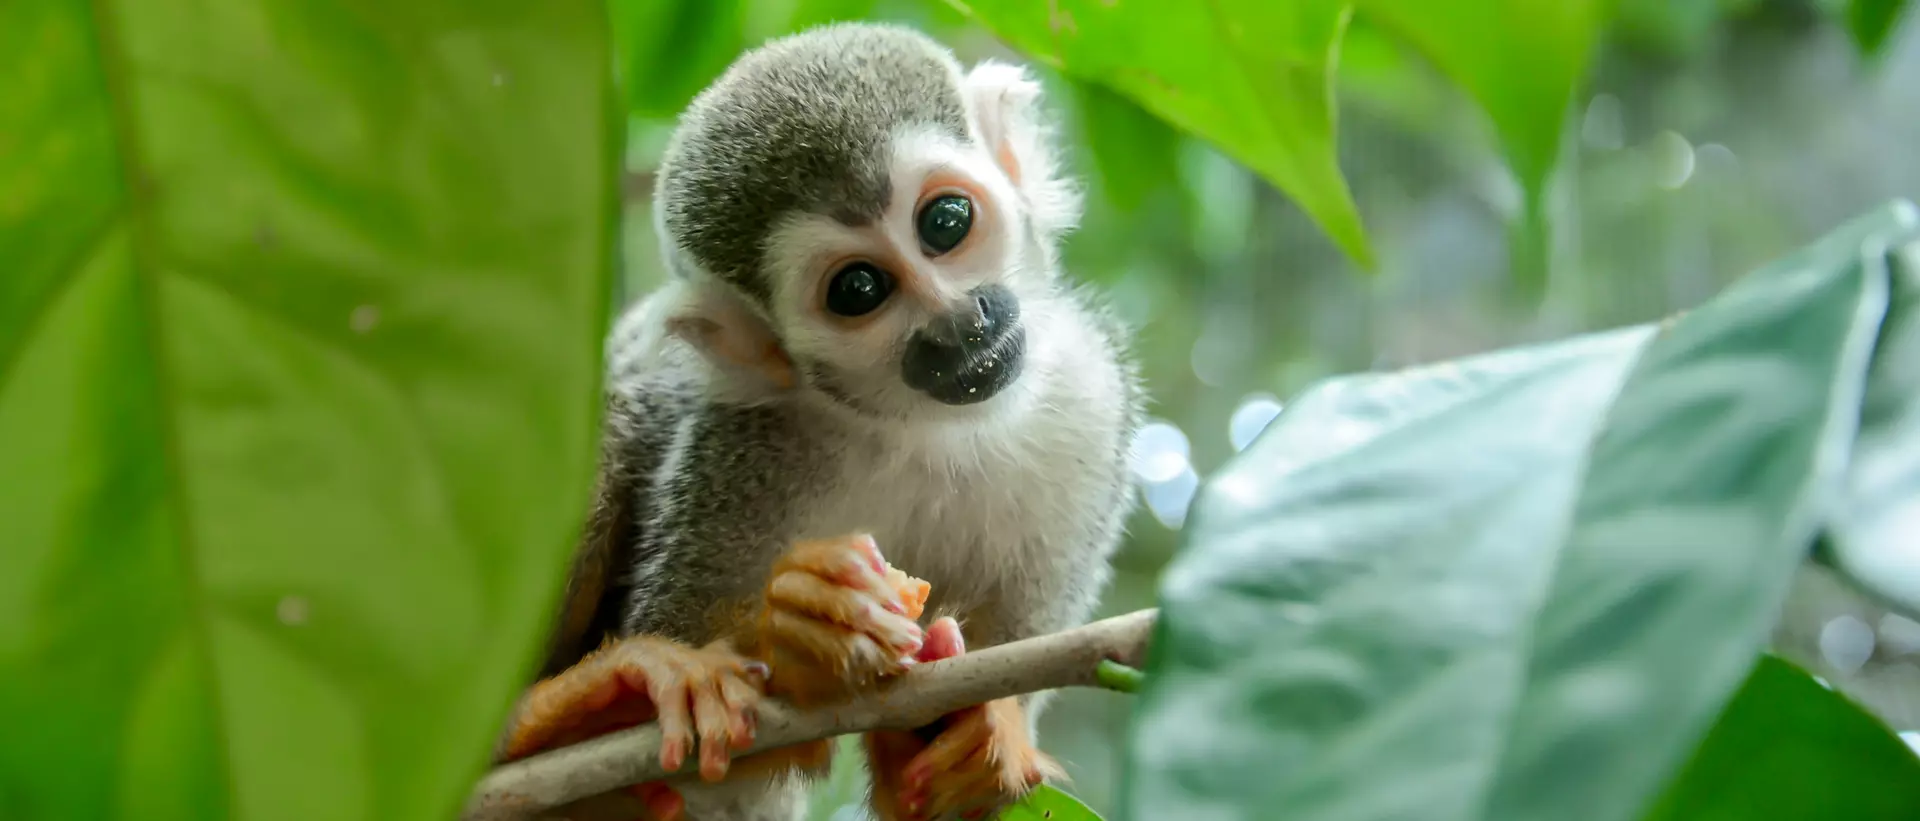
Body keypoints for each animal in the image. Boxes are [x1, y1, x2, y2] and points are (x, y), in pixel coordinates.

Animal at [493, 21, 1142, 821]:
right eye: (858, 289)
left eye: (945, 223)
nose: (959, 325)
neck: (924, 429)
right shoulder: (736, 458)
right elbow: (711, 772)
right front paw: (804, 636)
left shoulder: (1087, 401)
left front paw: (971, 742)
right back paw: (563, 711)